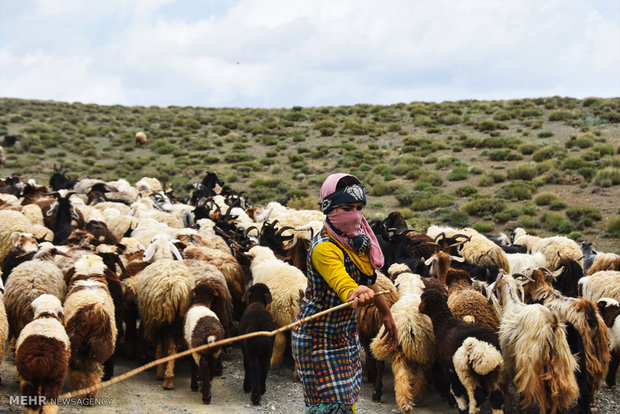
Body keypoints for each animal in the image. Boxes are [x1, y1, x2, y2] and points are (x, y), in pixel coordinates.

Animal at [64, 254, 118, 400]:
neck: (88, 277)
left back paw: (77, 387)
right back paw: (90, 395)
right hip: (100, 343)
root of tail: (94, 310)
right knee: (95, 372)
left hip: (74, 341)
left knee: (76, 367)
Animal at [370, 264, 434, 412]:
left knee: (401, 375)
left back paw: (405, 404)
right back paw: (416, 399)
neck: (410, 292)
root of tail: (409, 323)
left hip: (398, 350)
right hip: (422, 350)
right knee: (419, 376)